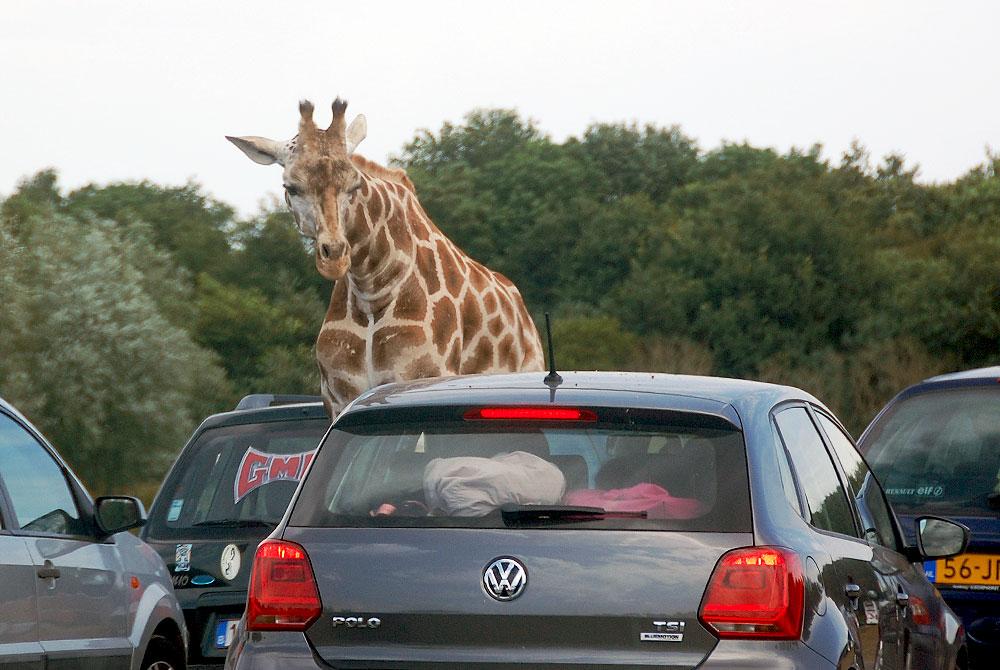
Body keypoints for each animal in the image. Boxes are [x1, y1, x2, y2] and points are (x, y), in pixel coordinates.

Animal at [229, 100, 544, 418]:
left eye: (354, 184)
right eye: (291, 188)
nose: (335, 257)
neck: (371, 290)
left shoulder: (421, 376)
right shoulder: (338, 395)